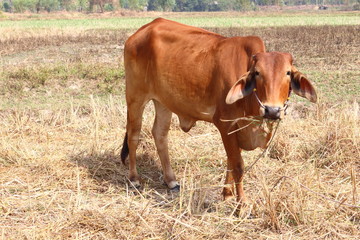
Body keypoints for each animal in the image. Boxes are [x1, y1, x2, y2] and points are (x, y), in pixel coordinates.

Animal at [120, 18, 316, 202]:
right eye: (258, 73)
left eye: (288, 73)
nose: (272, 110)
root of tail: (143, 29)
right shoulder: (226, 125)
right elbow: (237, 164)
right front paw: (241, 203)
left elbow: (231, 160)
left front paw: (227, 194)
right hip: (135, 96)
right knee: (133, 135)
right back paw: (134, 179)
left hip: (163, 101)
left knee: (160, 134)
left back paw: (171, 181)